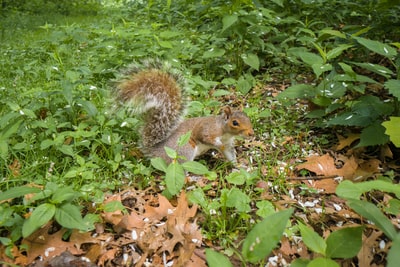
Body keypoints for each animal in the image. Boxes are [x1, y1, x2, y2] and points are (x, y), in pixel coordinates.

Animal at [114, 61, 255, 164]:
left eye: (248, 119)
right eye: (235, 123)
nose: (251, 133)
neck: (223, 130)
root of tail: (156, 153)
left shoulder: (227, 144)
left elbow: (229, 154)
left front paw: (238, 167)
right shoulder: (207, 129)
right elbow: (205, 137)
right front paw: (217, 144)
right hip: (184, 149)